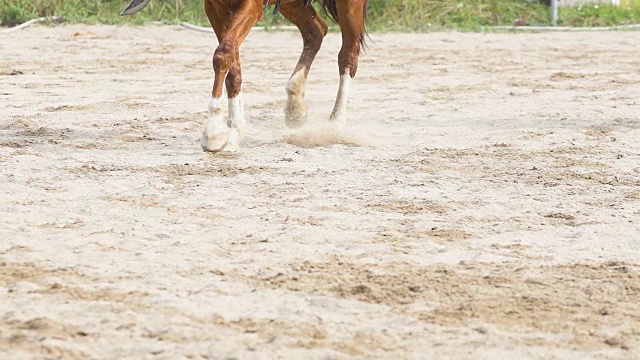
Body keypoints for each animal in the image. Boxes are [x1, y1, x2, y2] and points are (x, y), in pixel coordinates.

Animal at [121, 0, 370, 152]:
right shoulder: (215, 8)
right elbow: (232, 66)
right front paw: (234, 132)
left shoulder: (250, 6)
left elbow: (222, 55)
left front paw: (213, 131)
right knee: (316, 31)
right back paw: (295, 105)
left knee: (347, 55)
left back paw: (335, 125)